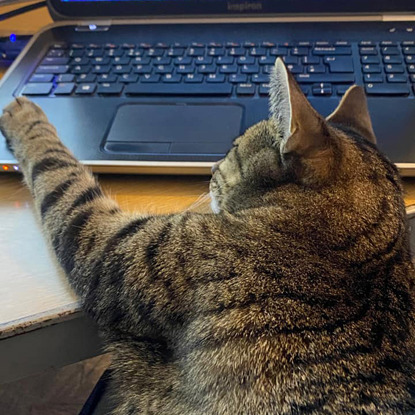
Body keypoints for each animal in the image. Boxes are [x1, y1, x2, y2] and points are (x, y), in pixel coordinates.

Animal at [0, 59, 415, 415]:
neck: (365, 249)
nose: (211, 167)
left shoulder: (108, 243)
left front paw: (24, 113)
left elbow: (59, 172)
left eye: (231, 149)